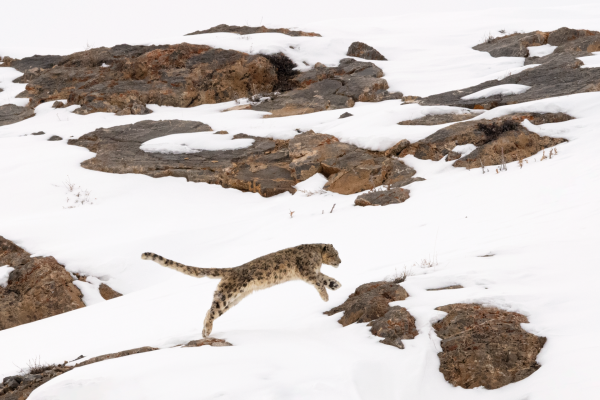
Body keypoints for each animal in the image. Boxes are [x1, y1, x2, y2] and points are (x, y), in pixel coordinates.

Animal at [138, 244, 340, 338]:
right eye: (335, 253)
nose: (341, 261)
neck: (317, 257)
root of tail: (232, 270)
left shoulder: (314, 272)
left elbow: (324, 278)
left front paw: (335, 284)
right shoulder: (307, 272)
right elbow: (318, 282)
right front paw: (325, 296)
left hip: (232, 301)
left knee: (210, 311)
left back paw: (205, 332)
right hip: (227, 294)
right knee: (211, 311)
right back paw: (206, 331)